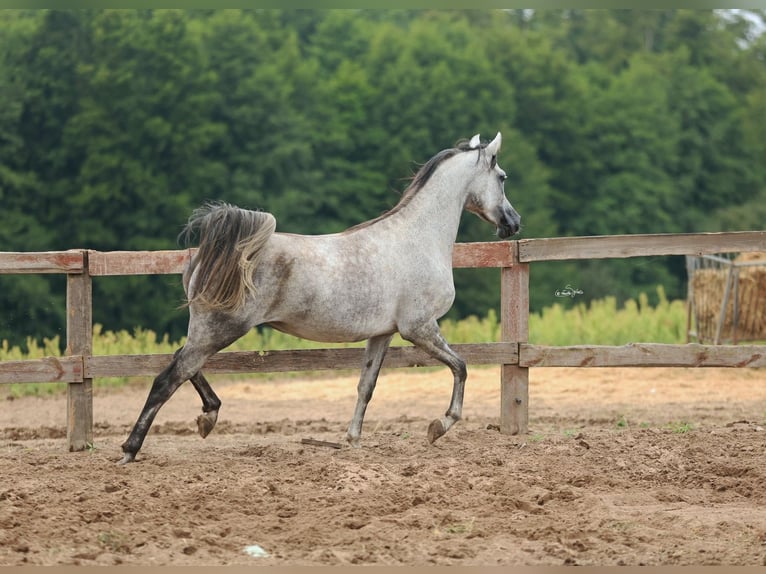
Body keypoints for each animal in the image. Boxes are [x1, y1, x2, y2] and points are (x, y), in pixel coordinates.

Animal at [120, 133, 524, 466]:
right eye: (502, 176)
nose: (514, 223)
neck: (417, 238)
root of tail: (210, 256)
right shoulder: (419, 328)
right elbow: (461, 366)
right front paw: (439, 426)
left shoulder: (383, 334)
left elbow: (366, 386)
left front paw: (353, 440)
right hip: (219, 328)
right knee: (170, 376)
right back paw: (131, 449)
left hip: (208, 329)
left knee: (182, 363)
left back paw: (208, 416)